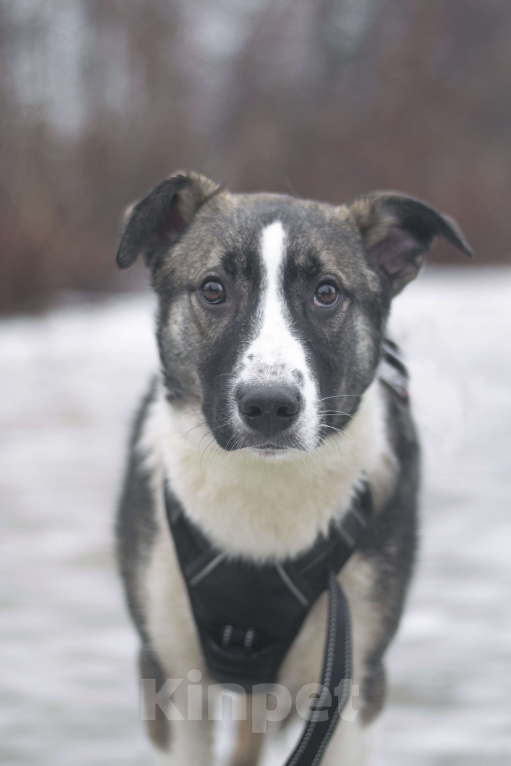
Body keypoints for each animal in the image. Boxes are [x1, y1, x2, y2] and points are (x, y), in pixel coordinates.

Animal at [115, 174, 472, 766]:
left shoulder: (352, 683)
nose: (268, 406)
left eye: (326, 292)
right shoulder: (169, 677)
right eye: (213, 289)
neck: (264, 488)